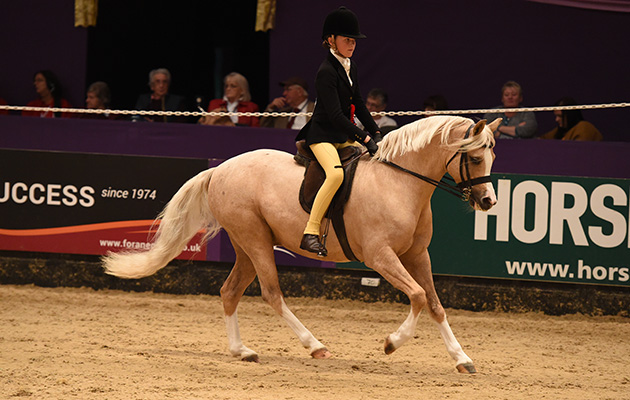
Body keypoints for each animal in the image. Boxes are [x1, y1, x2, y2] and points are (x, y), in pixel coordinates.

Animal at [102, 115, 498, 376]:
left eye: (492, 157)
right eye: (476, 157)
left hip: (247, 246)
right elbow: (416, 296)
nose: (489, 202)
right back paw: (315, 345)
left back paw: (242, 351)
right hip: (256, 241)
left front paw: (462, 359)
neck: (398, 182)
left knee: (230, 291)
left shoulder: (417, 256)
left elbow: (434, 304)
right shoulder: (381, 257)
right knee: (272, 293)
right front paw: (391, 342)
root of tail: (219, 169)